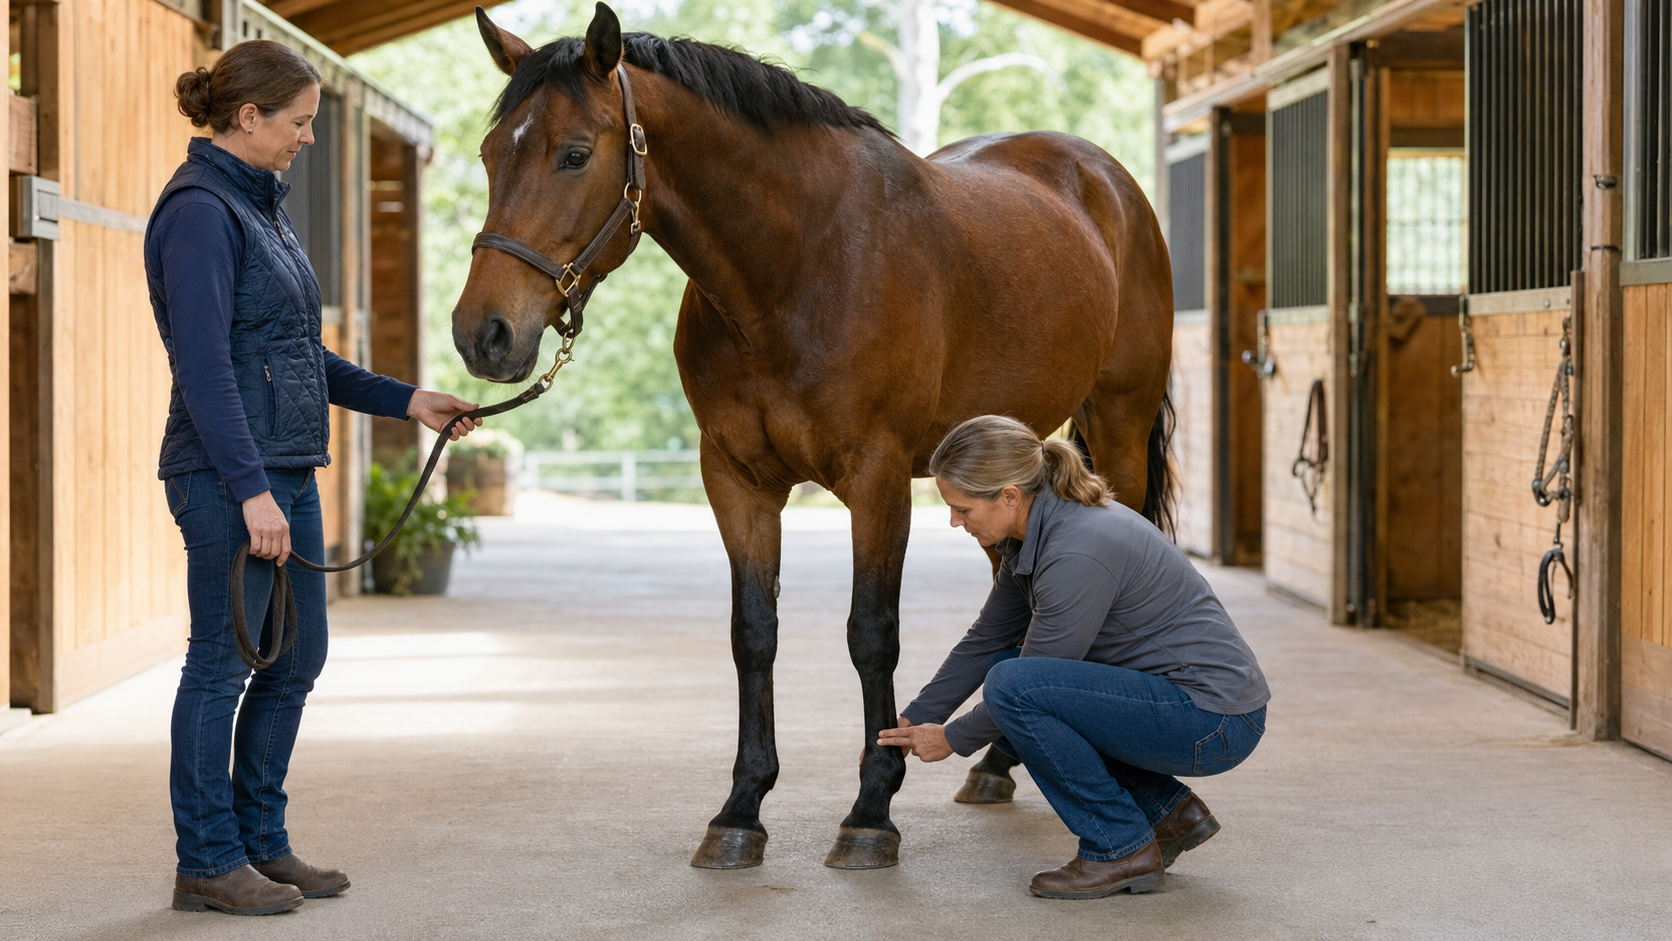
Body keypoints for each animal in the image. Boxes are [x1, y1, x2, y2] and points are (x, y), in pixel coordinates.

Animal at [453, 2, 1176, 870]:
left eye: (573, 153)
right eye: (492, 153)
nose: (482, 335)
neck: (794, 268)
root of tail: (1107, 180)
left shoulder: (877, 478)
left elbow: (872, 634)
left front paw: (871, 810)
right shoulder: (736, 479)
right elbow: (753, 633)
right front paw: (741, 807)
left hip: (1120, 425)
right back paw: (999, 762)